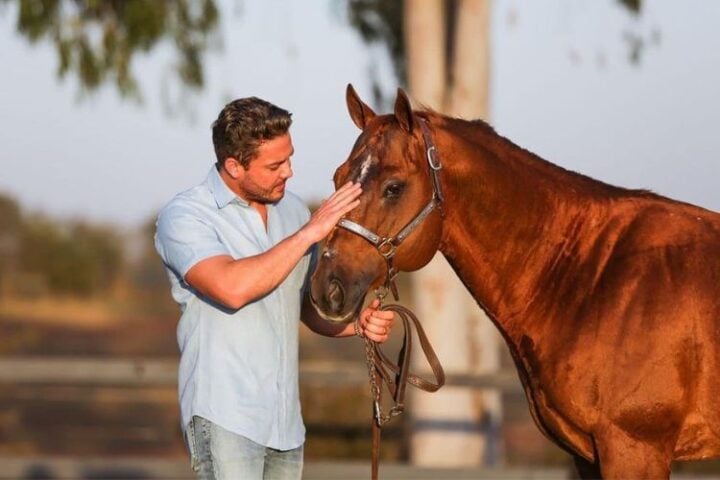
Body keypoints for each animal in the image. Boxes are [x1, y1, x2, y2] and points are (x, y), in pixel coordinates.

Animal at [310, 84, 720, 478]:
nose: (327, 288)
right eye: (337, 177)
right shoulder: (587, 456)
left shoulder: (635, 449)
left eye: (393, 187)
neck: (596, 276)